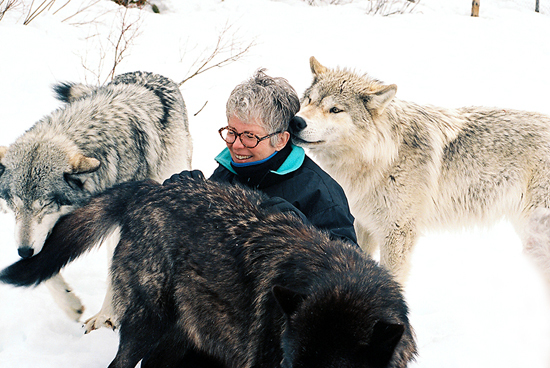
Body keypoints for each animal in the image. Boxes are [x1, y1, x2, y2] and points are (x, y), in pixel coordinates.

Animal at [0, 70, 194, 330]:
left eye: (45, 205)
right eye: (15, 205)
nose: (23, 251)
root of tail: (151, 74)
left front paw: (106, 317)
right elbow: (44, 263)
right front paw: (71, 305)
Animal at [292, 56, 550, 284]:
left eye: (335, 110)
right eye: (309, 100)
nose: (296, 122)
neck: (380, 158)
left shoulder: (397, 232)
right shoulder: (363, 225)